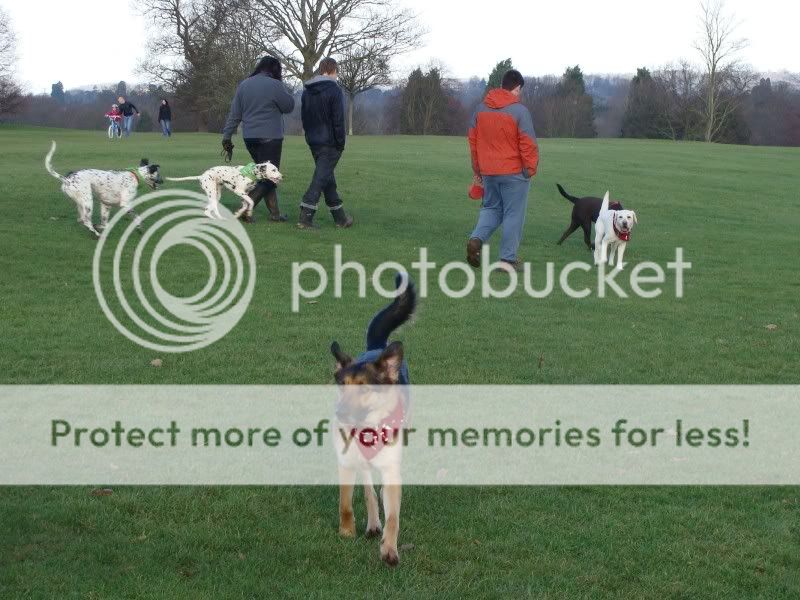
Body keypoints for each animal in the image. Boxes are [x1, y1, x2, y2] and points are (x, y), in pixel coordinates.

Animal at [332, 274, 418, 568]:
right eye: (342, 385)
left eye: (364, 388)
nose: (339, 413)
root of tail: (377, 348)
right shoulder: (346, 462)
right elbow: (346, 504)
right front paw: (347, 532)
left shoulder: (391, 470)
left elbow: (394, 518)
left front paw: (389, 550)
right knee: (369, 489)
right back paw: (371, 524)